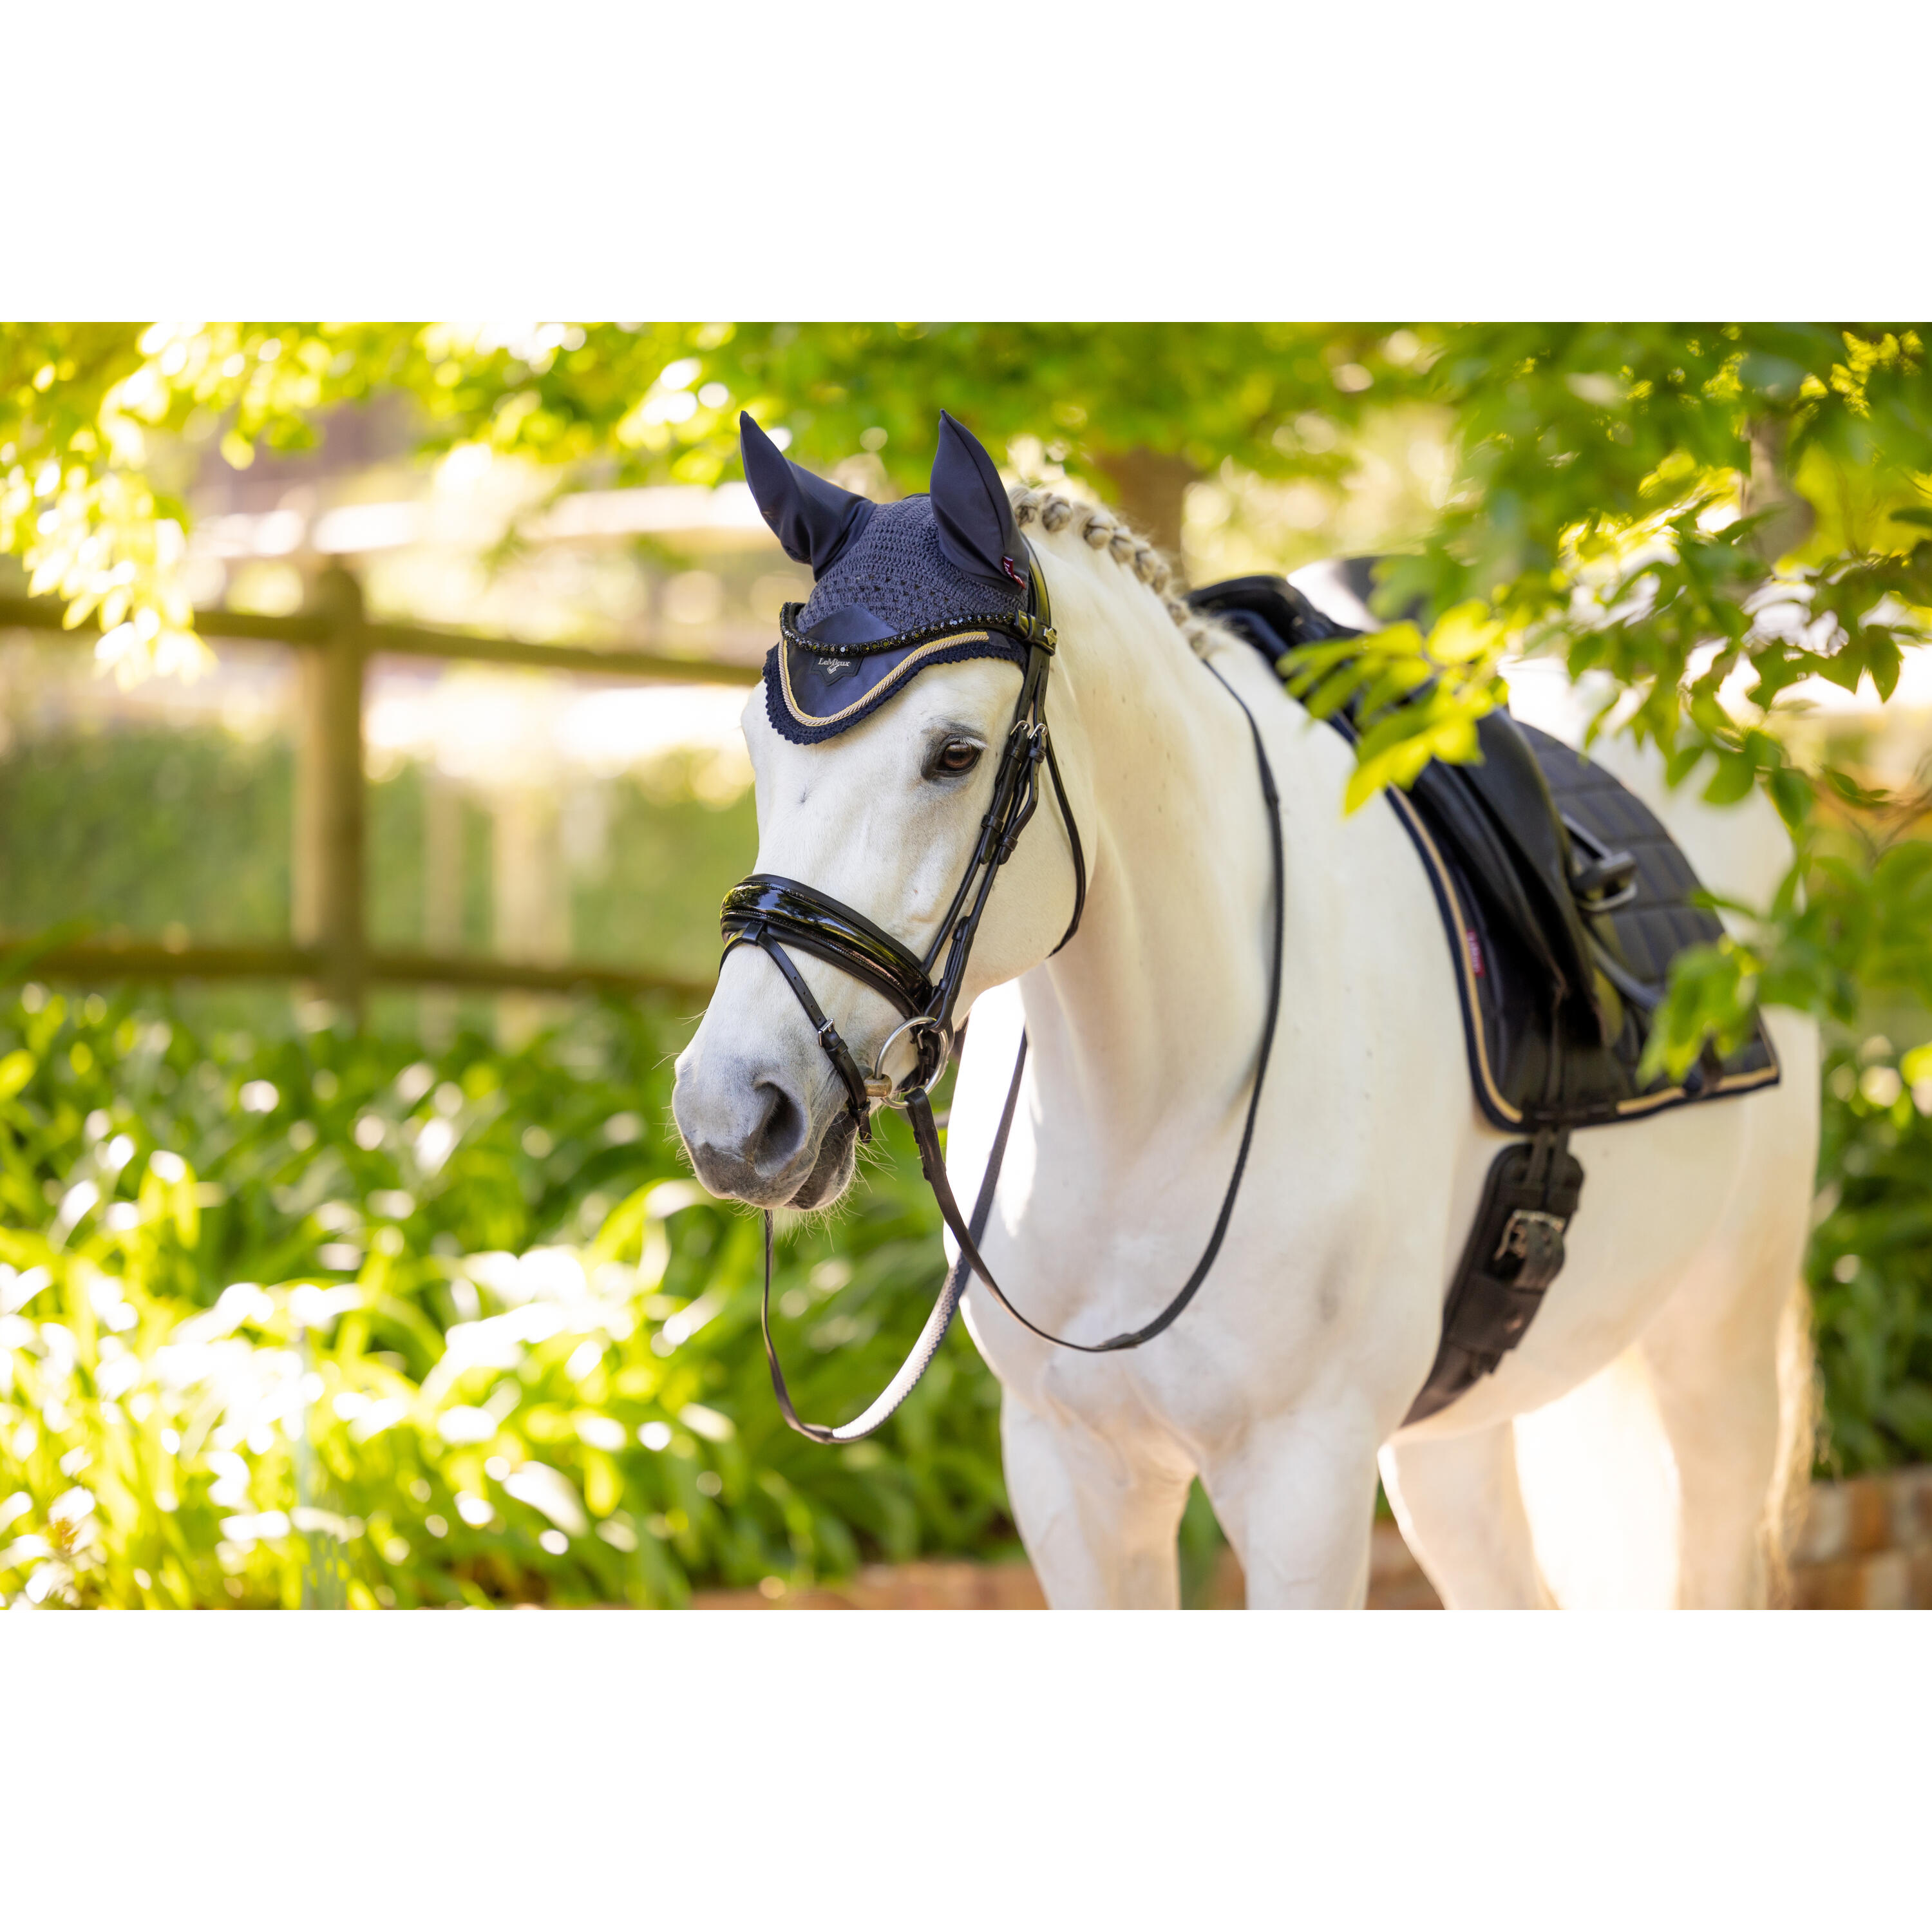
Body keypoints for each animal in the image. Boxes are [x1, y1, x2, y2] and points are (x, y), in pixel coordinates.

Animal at [672, 417, 1820, 1609]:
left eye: (955, 753)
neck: (1148, 1103)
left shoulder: (1302, 1484)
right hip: (1452, 1442)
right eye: (754, 742)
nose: (734, 1117)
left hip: (1718, 1358)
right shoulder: (1070, 1476)